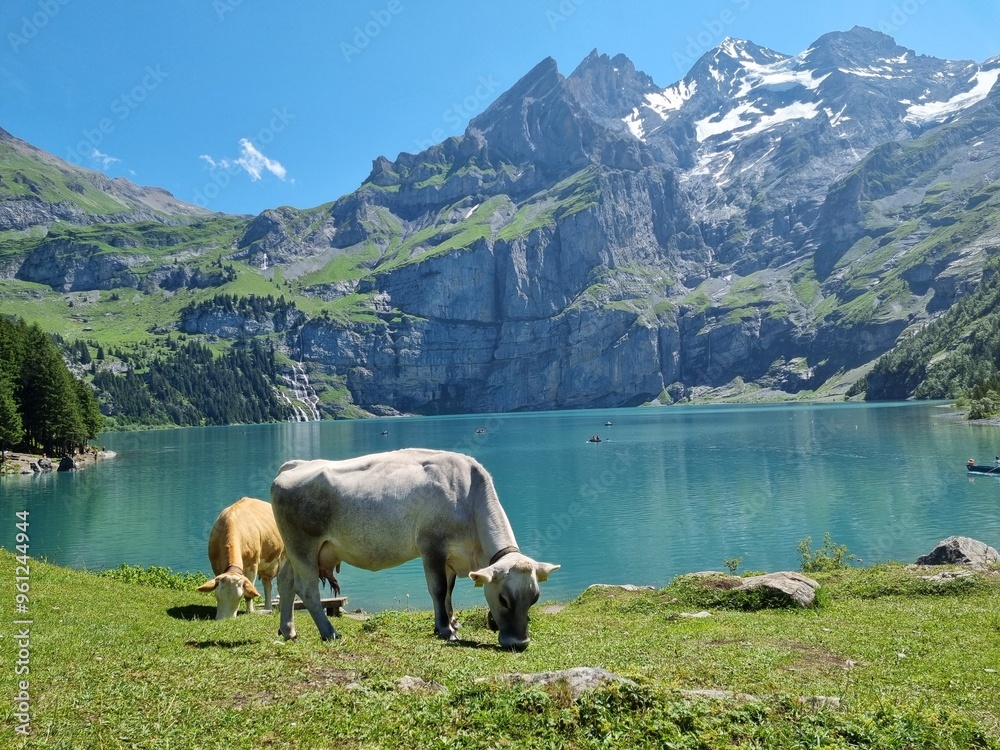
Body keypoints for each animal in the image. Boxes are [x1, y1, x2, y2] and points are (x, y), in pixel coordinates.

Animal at [271, 448, 559, 650]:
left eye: (534, 598)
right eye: (503, 599)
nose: (519, 643)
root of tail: (292, 466)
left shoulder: (451, 557)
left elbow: (449, 593)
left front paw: (452, 622)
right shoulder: (431, 546)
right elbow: (439, 589)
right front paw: (445, 630)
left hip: (293, 552)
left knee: (285, 581)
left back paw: (288, 631)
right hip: (303, 545)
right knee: (307, 589)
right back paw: (329, 632)